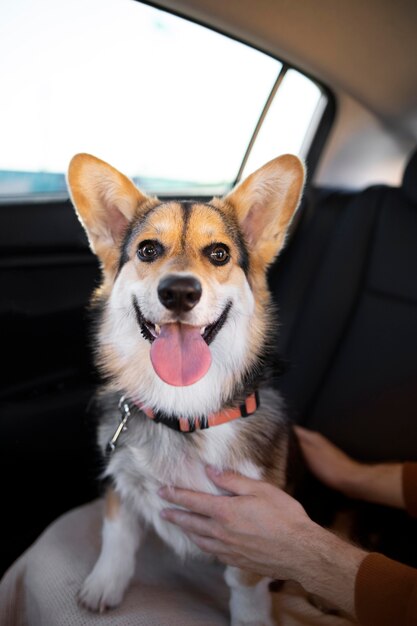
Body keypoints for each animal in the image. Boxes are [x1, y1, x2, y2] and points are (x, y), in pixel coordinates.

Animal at [66, 152, 304, 624]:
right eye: (148, 250)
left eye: (219, 254)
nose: (179, 292)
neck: (181, 410)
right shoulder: (120, 479)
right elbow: (117, 536)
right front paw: (104, 585)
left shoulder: (252, 525)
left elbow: (246, 586)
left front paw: (251, 619)